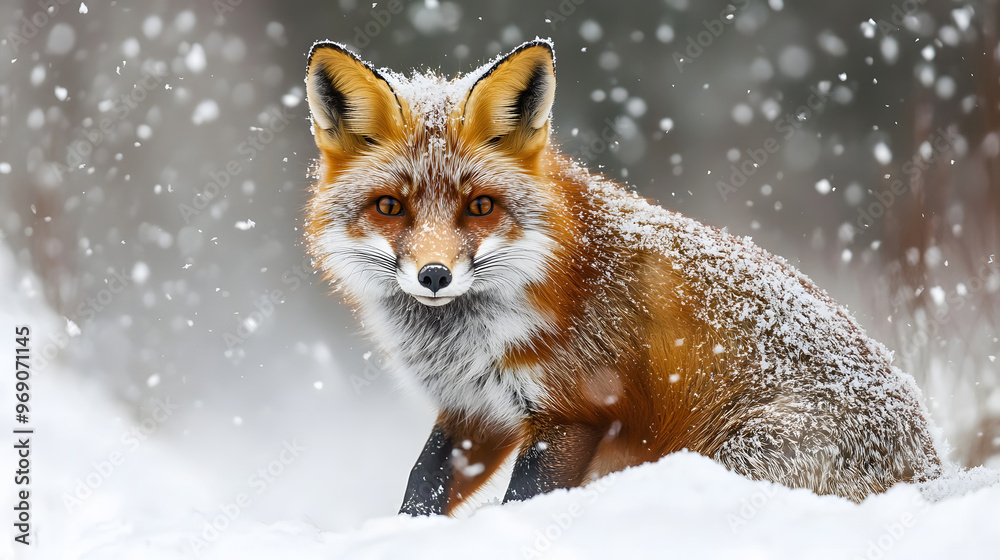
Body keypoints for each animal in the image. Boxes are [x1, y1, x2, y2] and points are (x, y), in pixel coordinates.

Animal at [302, 39, 942, 515]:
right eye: (390, 207)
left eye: (480, 206)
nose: (434, 275)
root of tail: (934, 470)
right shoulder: (476, 410)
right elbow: (420, 488)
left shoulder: (577, 409)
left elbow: (522, 501)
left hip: (736, 453)